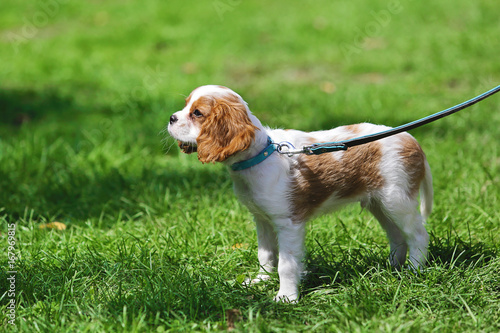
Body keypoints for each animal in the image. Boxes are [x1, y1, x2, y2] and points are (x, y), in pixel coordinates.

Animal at [166, 83, 432, 300]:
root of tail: (412, 140)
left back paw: (414, 271)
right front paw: (261, 280)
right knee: (397, 236)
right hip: (379, 203)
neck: (262, 154)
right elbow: (265, 254)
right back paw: (391, 268)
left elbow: (286, 264)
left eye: (197, 113)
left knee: (418, 234)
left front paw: (286, 297)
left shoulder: (288, 223)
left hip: (397, 199)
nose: (171, 117)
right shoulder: (262, 219)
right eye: (185, 104)